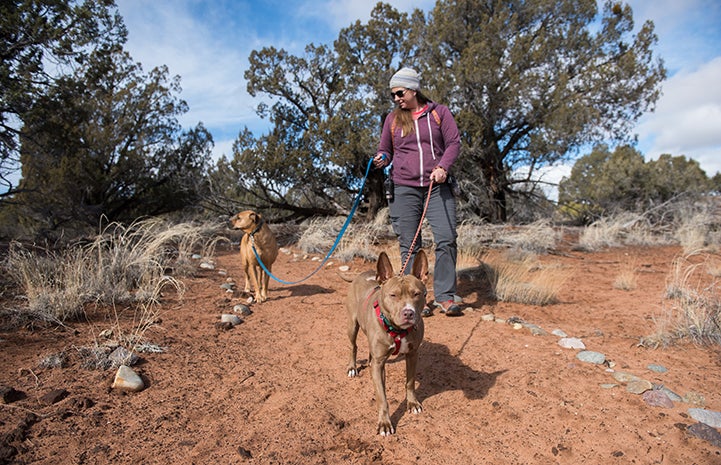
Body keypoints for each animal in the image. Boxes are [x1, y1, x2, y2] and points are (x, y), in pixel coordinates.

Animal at [344, 250, 424, 436]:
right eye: (393, 295)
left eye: (417, 294)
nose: (408, 313)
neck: (398, 330)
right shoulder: (380, 364)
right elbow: (382, 397)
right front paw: (385, 423)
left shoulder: (412, 354)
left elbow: (410, 382)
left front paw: (412, 403)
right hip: (352, 325)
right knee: (353, 346)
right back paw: (352, 367)